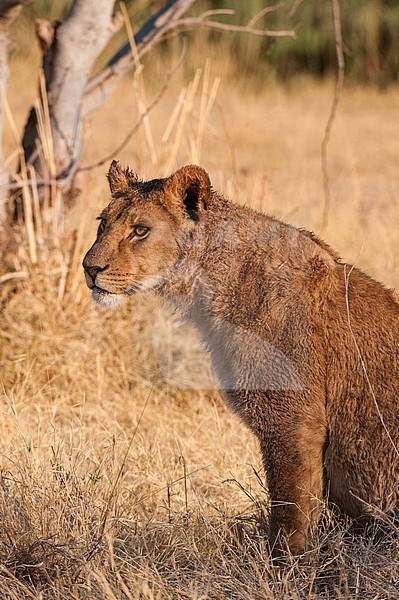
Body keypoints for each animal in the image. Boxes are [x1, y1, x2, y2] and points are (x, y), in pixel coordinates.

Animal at [83, 162, 399, 556]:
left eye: (140, 230)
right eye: (101, 223)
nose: (89, 268)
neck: (210, 285)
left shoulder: (293, 422)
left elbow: (289, 513)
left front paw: (286, 566)